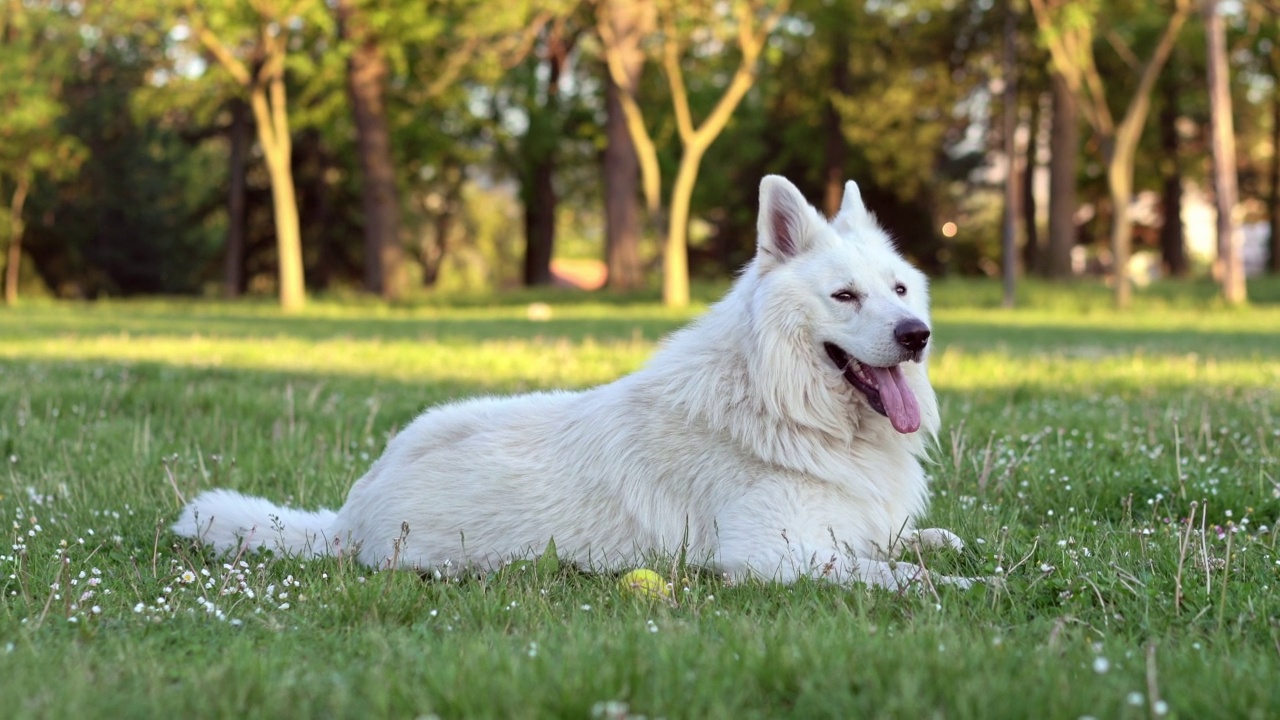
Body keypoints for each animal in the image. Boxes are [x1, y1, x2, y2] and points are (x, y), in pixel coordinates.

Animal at [175, 175, 972, 589]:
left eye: (900, 289)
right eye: (844, 296)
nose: (917, 335)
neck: (782, 405)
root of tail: (346, 517)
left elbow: (925, 543)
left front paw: (951, 553)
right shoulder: (770, 558)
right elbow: (899, 576)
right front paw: (969, 589)